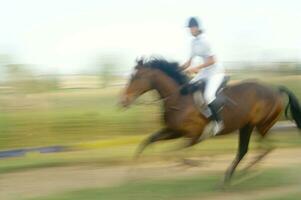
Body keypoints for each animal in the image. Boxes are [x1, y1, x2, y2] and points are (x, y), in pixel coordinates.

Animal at [119, 57, 300, 184]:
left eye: (136, 77)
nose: (123, 101)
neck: (179, 99)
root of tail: (275, 89)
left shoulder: (193, 134)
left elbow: (176, 153)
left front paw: (199, 162)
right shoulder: (174, 131)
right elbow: (148, 142)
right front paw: (131, 174)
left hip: (257, 125)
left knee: (259, 148)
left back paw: (239, 175)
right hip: (250, 126)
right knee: (254, 149)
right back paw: (238, 174)